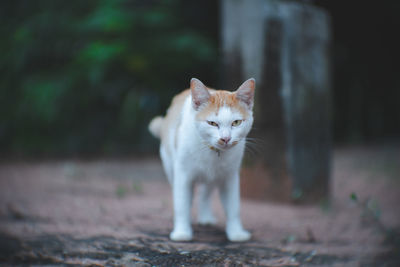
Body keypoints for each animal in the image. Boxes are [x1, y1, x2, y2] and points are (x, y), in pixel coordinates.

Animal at [148, 77, 255, 243]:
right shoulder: (183, 175)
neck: (212, 152)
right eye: (212, 123)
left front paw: (236, 233)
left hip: (213, 176)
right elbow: (181, 204)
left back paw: (205, 218)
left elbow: (233, 207)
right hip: (170, 166)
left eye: (236, 122)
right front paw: (182, 232)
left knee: (206, 192)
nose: (225, 138)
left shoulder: (230, 177)